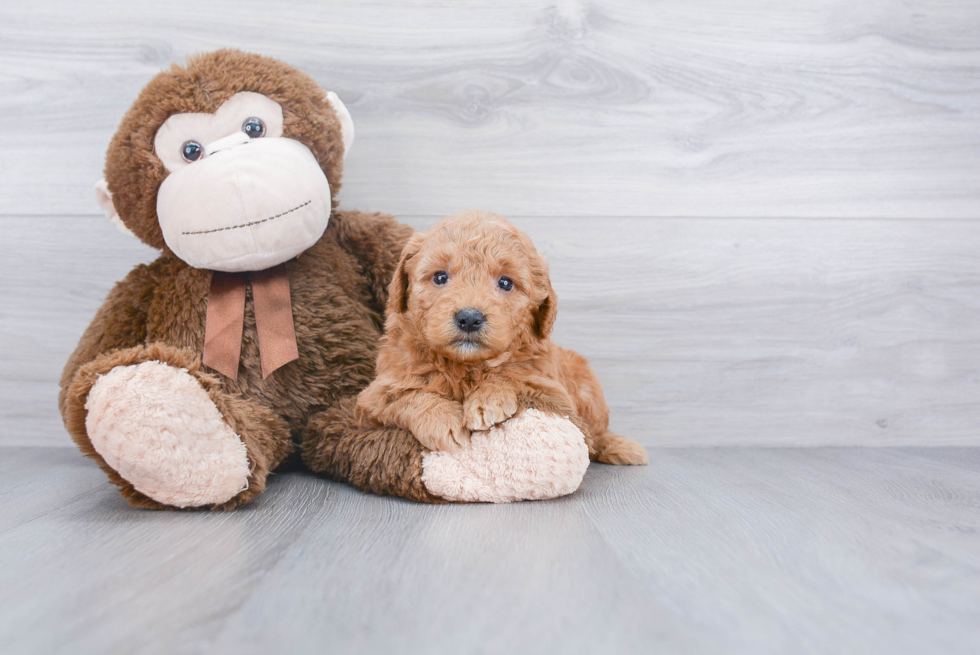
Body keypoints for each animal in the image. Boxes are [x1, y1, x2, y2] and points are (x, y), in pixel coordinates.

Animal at [356, 210, 648, 466]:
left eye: (505, 283)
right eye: (440, 277)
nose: (469, 318)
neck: (466, 367)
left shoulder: (554, 392)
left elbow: (513, 375)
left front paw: (487, 400)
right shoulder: (372, 399)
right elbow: (406, 395)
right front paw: (442, 421)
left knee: (596, 435)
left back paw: (622, 447)